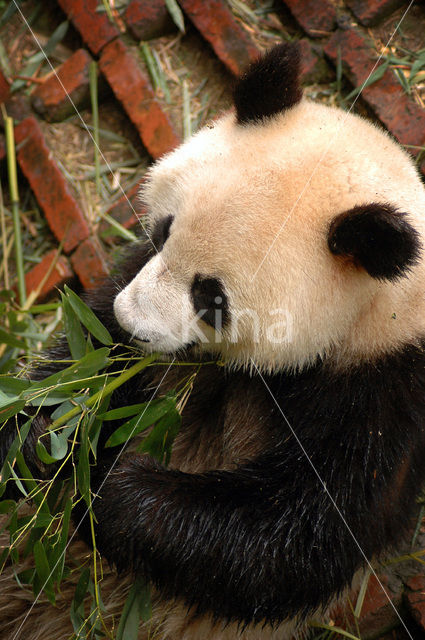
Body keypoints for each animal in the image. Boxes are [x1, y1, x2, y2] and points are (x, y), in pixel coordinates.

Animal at [0, 42, 424, 636]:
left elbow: (291, 538)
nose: (133, 324)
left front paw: (106, 487)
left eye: (212, 297)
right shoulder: (131, 282)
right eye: (163, 230)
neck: (375, 313)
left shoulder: (382, 393)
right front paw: (47, 434)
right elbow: (87, 348)